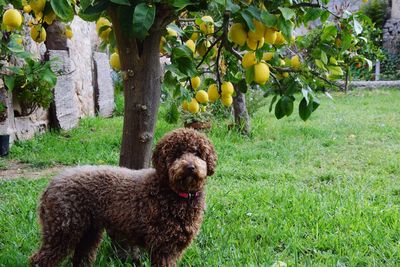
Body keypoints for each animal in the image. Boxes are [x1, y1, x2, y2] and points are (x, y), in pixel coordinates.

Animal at [29, 128, 217, 267]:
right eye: (176, 154)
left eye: (197, 152)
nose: (190, 167)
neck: (174, 193)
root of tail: (51, 184)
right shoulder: (164, 248)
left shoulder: (172, 249)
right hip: (63, 230)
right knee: (40, 260)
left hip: (88, 231)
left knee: (80, 257)